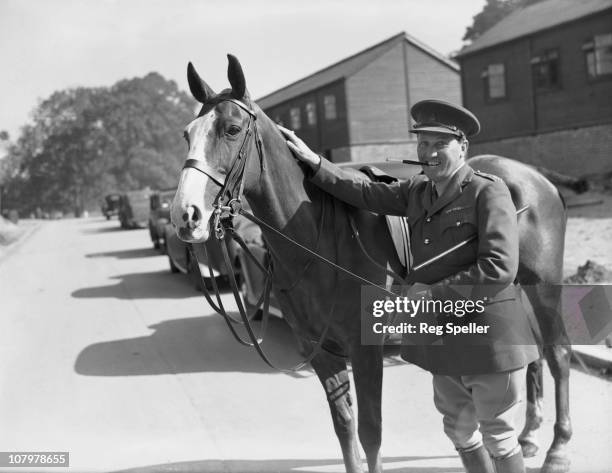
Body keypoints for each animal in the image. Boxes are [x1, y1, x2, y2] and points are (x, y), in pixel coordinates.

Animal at [170, 55, 572, 472]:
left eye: (232, 129)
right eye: (187, 134)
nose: (186, 215)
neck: (316, 239)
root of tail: (532, 176)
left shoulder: (365, 350)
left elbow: (370, 433)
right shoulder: (321, 350)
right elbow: (345, 428)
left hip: (543, 285)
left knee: (557, 353)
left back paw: (557, 447)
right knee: (530, 355)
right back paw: (528, 436)